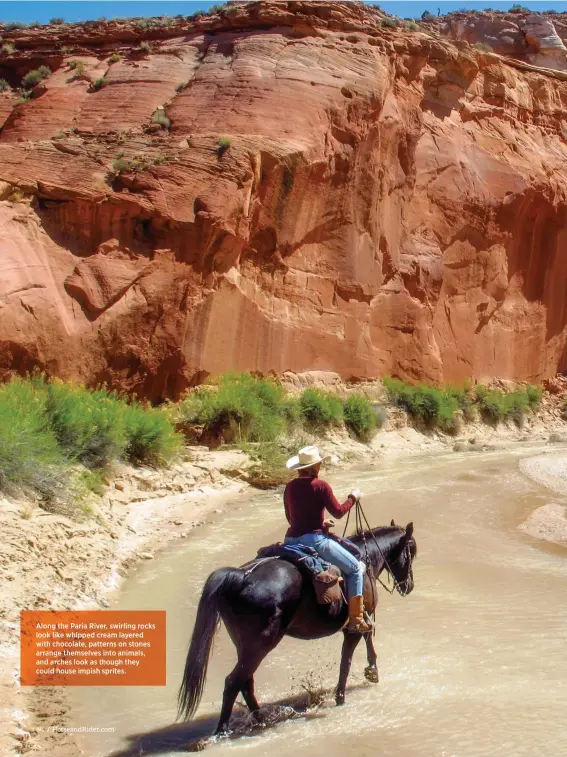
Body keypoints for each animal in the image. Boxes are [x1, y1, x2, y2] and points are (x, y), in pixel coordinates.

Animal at [179, 520, 418, 732]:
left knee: (245, 683)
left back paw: (261, 719)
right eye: (411, 552)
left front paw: (372, 671)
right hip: (260, 644)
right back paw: (223, 730)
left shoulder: (361, 619)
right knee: (233, 682)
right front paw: (341, 697)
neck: (366, 559)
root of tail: (241, 577)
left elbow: (367, 640)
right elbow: (346, 661)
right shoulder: (353, 626)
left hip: (243, 645)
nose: (409, 585)